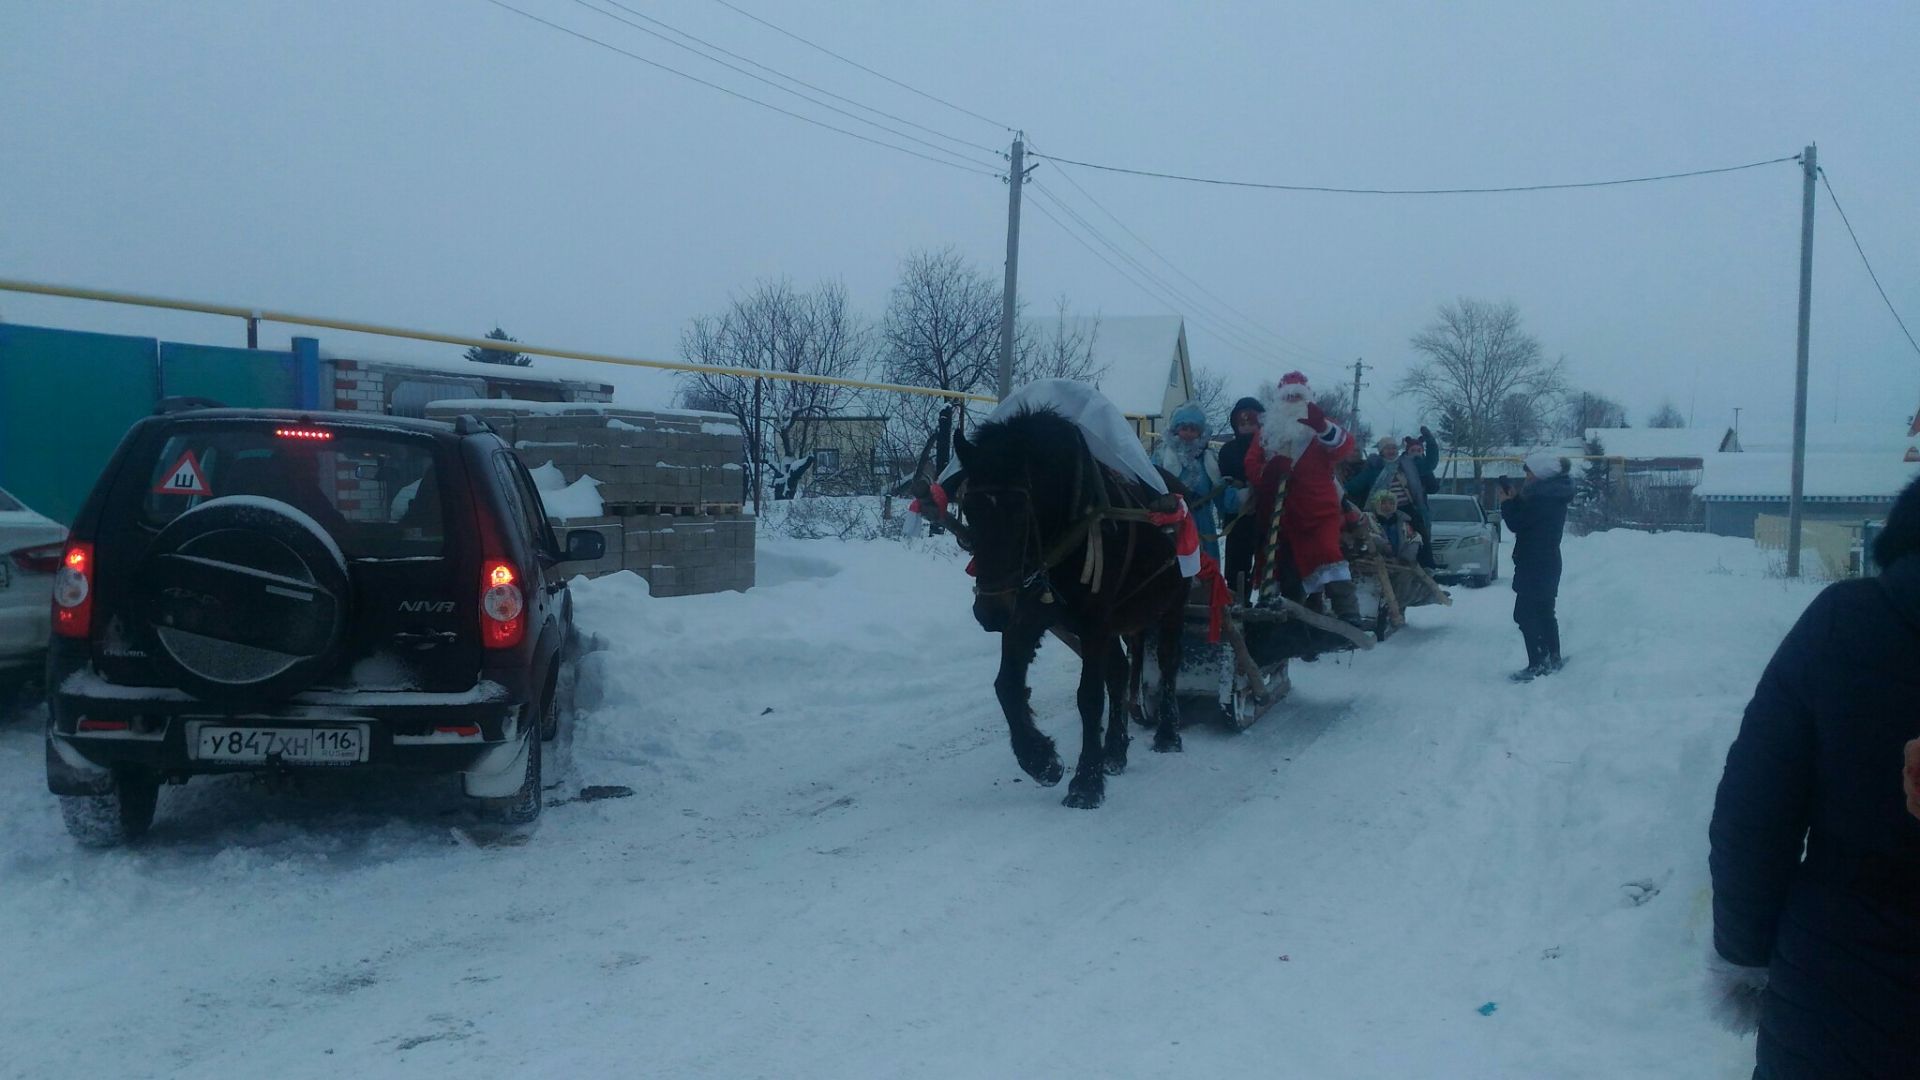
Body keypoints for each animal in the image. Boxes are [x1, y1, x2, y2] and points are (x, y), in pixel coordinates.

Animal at [956, 405, 1190, 807]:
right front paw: (1041, 760)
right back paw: (1115, 751)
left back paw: (1167, 733)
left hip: (1173, 603)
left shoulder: (1094, 621)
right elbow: (1007, 686)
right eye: (968, 509)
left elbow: (1089, 697)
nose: (990, 612)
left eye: (1020, 512)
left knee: (1168, 663)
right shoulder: (1028, 614)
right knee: (1119, 671)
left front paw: (1086, 782)